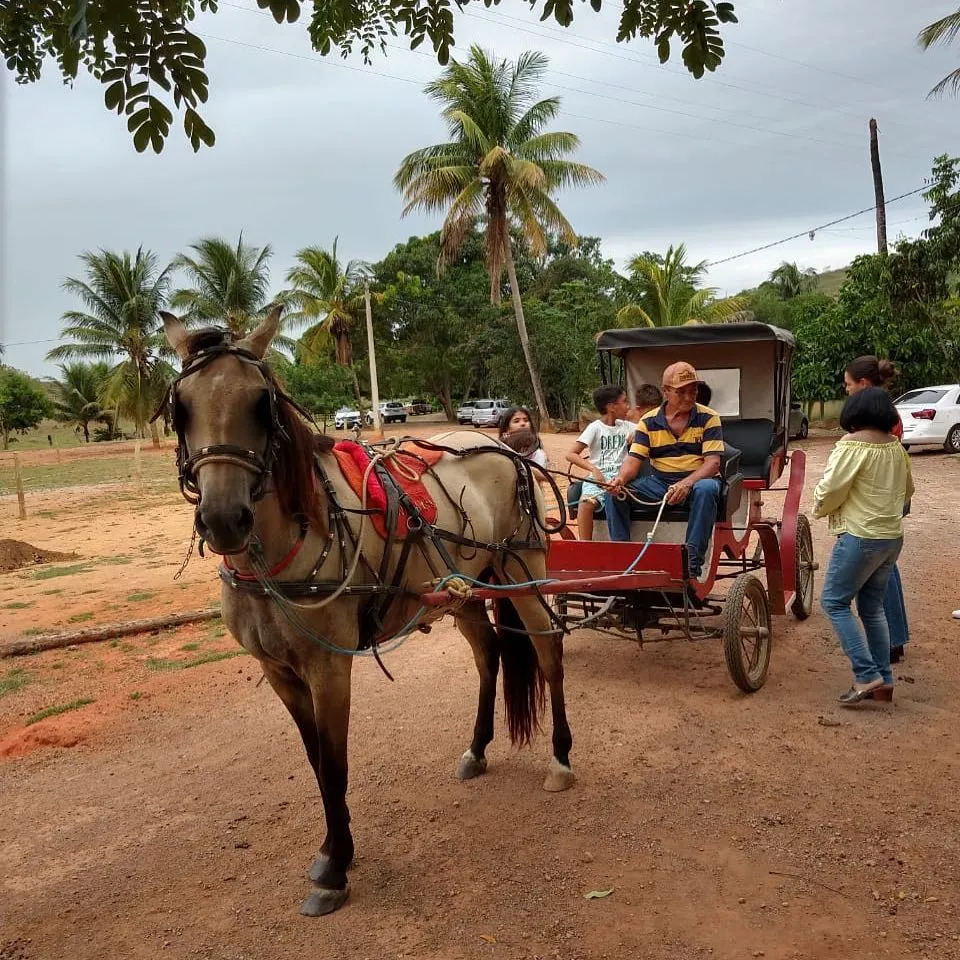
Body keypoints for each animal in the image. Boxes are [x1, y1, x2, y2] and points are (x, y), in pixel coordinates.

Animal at [159, 306, 576, 916]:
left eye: (261, 403)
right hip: (464, 589)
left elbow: (335, 764)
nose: (223, 518)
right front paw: (335, 848)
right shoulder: (278, 671)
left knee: (548, 650)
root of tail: (501, 444)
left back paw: (562, 759)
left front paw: (335, 870)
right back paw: (476, 749)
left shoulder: (329, 666)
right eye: (181, 406)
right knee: (490, 655)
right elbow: (315, 760)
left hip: (523, 571)